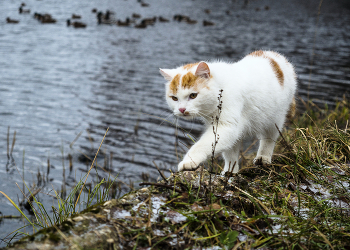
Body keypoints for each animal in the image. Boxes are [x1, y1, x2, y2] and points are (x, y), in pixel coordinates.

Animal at [160, 49, 296, 173]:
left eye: (193, 95)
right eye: (174, 98)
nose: (181, 109)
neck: (221, 87)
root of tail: (274, 55)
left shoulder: (226, 127)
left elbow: (201, 145)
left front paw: (189, 161)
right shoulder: (226, 130)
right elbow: (230, 154)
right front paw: (229, 173)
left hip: (275, 119)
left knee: (269, 138)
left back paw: (263, 158)